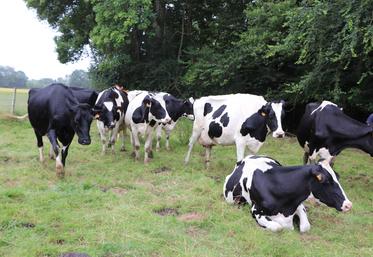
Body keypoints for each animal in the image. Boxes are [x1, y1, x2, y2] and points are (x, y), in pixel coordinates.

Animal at [224, 154, 352, 232]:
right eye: (327, 181)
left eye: (337, 177)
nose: (348, 205)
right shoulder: (255, 210)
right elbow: (277, 227)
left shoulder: (299, 204)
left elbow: (305, 227)